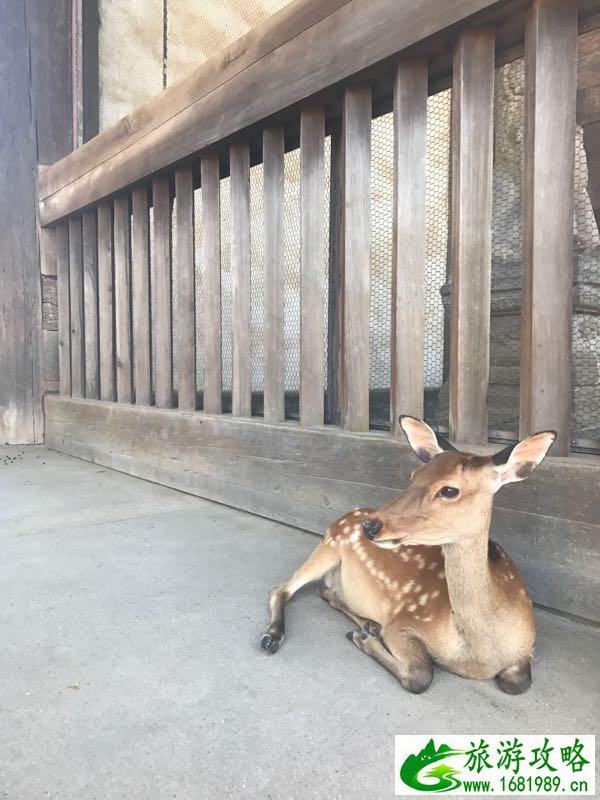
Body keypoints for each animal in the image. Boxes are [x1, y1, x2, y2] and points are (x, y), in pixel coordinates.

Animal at [260, 418, 556, 692]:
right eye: (414, 474)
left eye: (450, 490)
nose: (370, 525)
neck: (478, 655)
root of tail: (345, 516)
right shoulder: (404, 620)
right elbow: (420, 674)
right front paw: (365, 640)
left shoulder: (526, 649)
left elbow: (518, 682)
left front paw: (367, 635)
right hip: (329, 545)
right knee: (282, 588)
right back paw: (273, 636)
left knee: (323, 590)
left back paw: (369, 624)